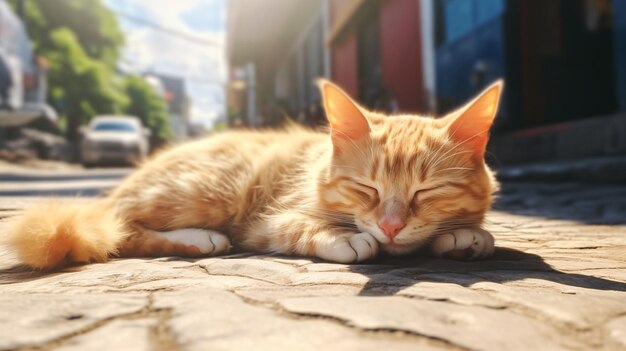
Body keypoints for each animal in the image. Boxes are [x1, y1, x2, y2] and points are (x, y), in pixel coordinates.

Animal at [3, 80, 502, 270]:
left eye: (427, 190)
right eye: (366, 188)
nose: (391, 226)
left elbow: (471, 230)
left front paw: (465, 237)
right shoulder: (265, 222)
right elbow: (305, 227)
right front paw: (346, 237)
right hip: (215, 190)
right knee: (121, 231)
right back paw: (197, 239)